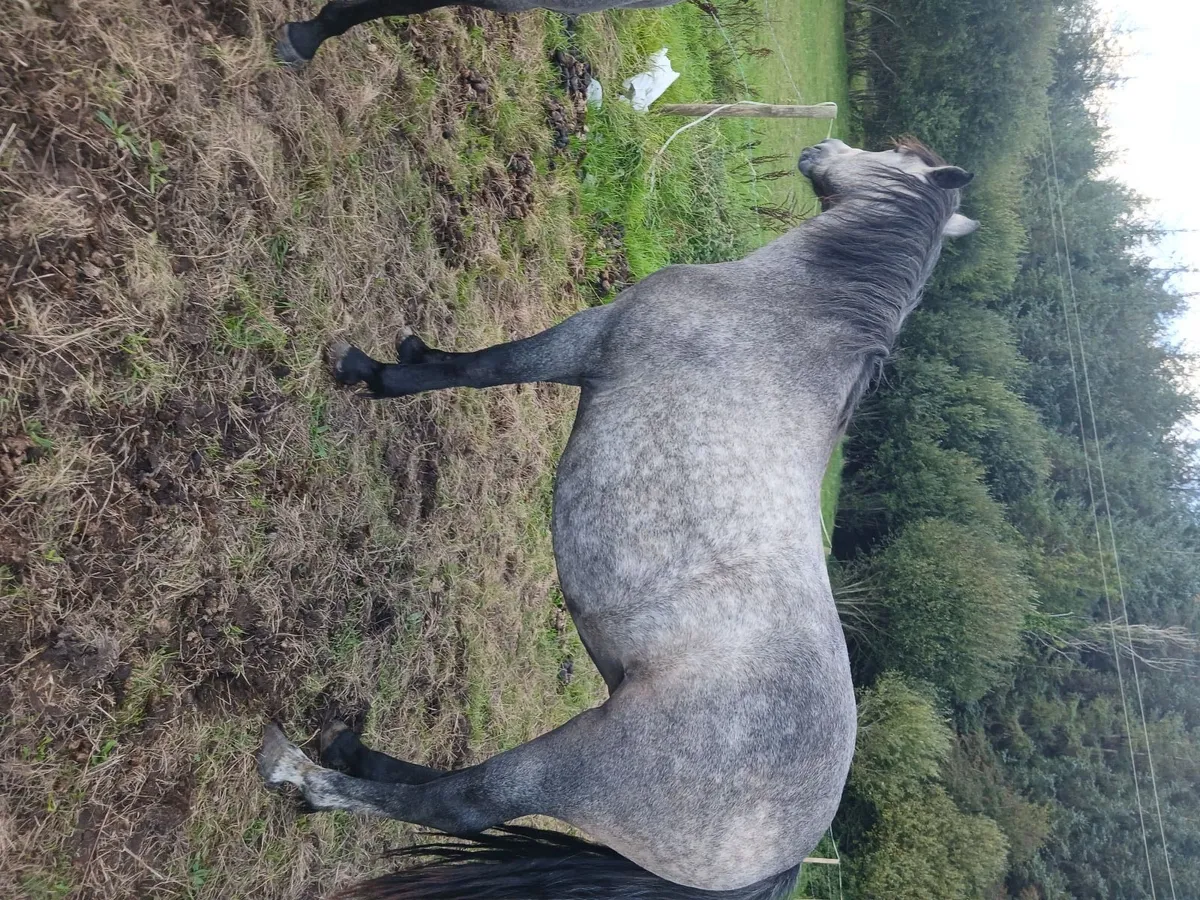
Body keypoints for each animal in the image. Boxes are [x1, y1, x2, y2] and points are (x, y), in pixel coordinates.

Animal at [258, 137, 978, 898]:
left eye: (896, 153)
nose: (822, 148)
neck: (794, 316)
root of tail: (783, 859)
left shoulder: (586, 339)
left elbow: (482, 369)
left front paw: (373, 370)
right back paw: (346, 748)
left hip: (571, 764)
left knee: (465, 803)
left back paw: (307, 774)